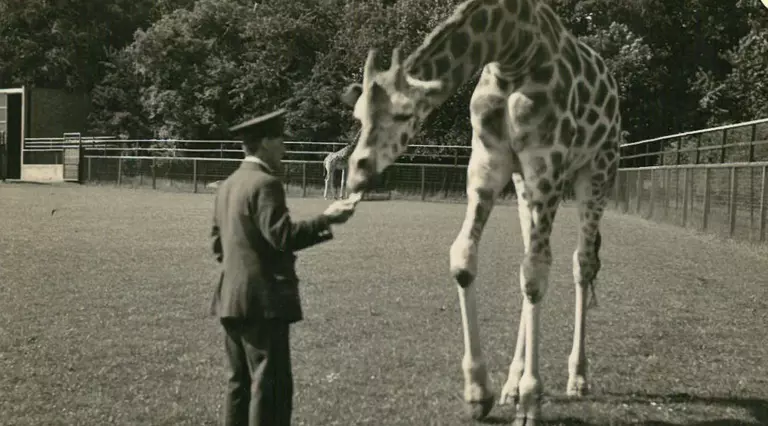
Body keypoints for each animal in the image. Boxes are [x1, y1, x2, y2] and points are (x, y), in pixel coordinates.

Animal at [339, 0, 621, 424]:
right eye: (359, 116)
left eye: (404, 115)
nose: (357, 172)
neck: (512, 51)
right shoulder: (490, 163)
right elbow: (465, 258)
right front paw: (479, 391)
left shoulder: (546, 163)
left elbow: (536, 274)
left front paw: (531, 401)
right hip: (524, 185)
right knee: (535, 260)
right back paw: (511, 383)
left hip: (597, 169)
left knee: (580, 262)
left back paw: (577, 378)